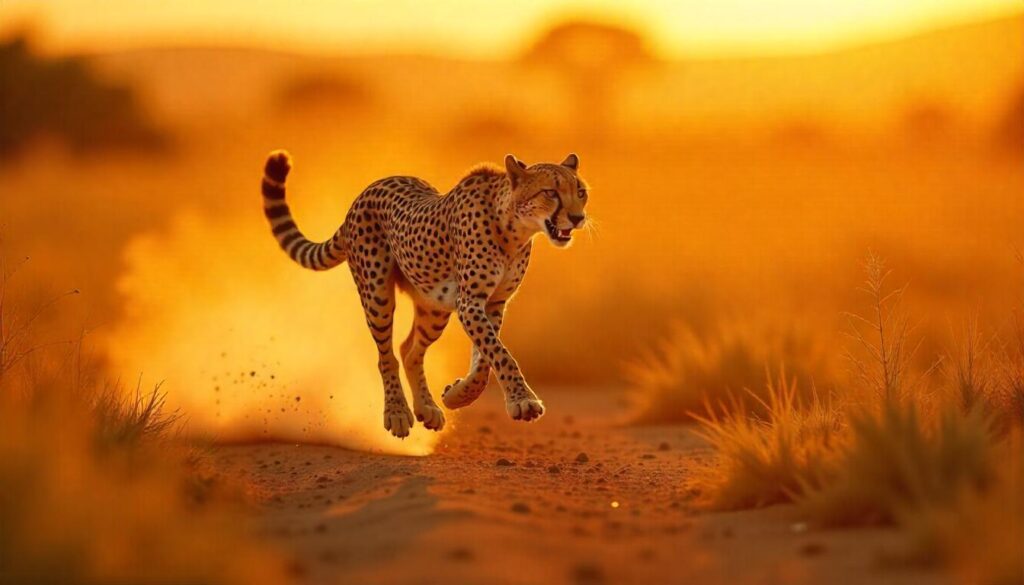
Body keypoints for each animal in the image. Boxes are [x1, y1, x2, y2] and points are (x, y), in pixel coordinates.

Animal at [261, 150, 589, 438]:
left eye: (581, 191)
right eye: (551, 192)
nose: (577, 217)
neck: (514, 229)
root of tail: (366, 191)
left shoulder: (493, 303)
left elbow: (485, 361)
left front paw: (458, 395)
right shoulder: (470, 302)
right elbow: (500, 354)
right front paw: (523, 400)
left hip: (435, 307)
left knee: (409, 350)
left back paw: (426, 408)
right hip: (378, 295)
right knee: (387, 356)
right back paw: (397, 413)